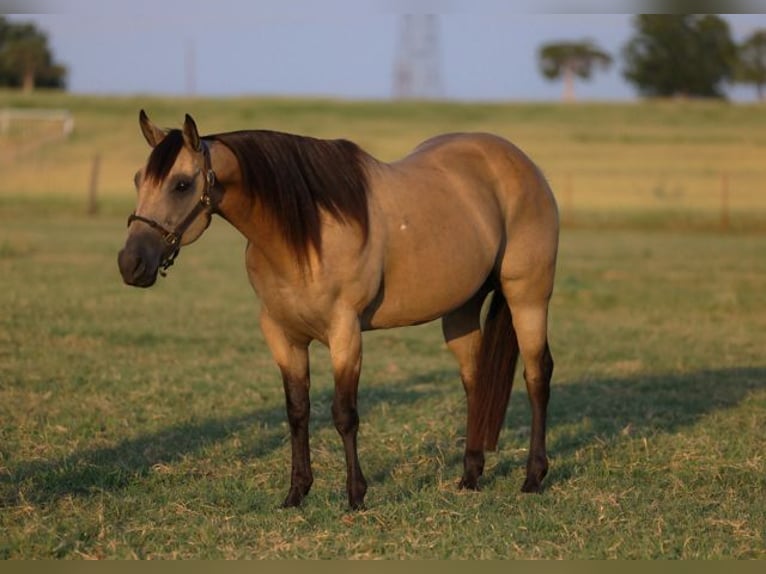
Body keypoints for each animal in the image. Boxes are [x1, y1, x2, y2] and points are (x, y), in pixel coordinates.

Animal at [118, 110, 559, 509]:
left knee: (537, 376)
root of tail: (523, 164)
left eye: (181, 184)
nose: (130, 264)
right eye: (139, 179)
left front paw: (355, 496)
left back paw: (533, 478)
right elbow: (297, 411)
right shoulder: (282, 336)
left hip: (528, 298)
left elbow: (344, 413)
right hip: (461, 311)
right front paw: (296, 494)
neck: (305, 235)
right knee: (476, 382)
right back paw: (470, 477)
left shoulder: (344, 332)